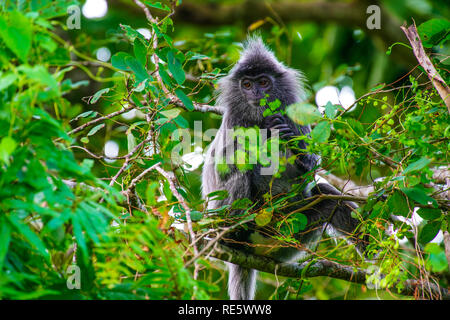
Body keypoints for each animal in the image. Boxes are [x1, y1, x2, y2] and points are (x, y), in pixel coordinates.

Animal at [202, 37, 364, 300]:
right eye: (247, 84)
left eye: (263, 82)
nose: (256, 93)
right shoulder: (234, 122)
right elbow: (224, 168)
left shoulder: (293, 117)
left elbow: (310, 173)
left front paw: (295, 148)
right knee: (240, 176)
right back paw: (233, 238)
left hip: (289, 235)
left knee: (328, 196)